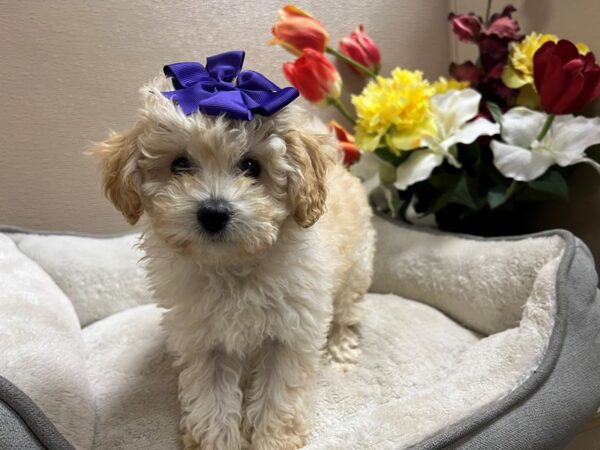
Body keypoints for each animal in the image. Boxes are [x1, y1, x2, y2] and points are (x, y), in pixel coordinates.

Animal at [92, 74, 376, 450]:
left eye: (252, 166)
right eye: (179, 164)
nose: (213, 213)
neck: (232, 266)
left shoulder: (289, 333)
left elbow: (278, 393)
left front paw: (273, 440)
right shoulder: (203, 337)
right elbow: (211, 398)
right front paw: (217, 441)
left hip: (356, 267)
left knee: (347, 311)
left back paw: (341, 349)